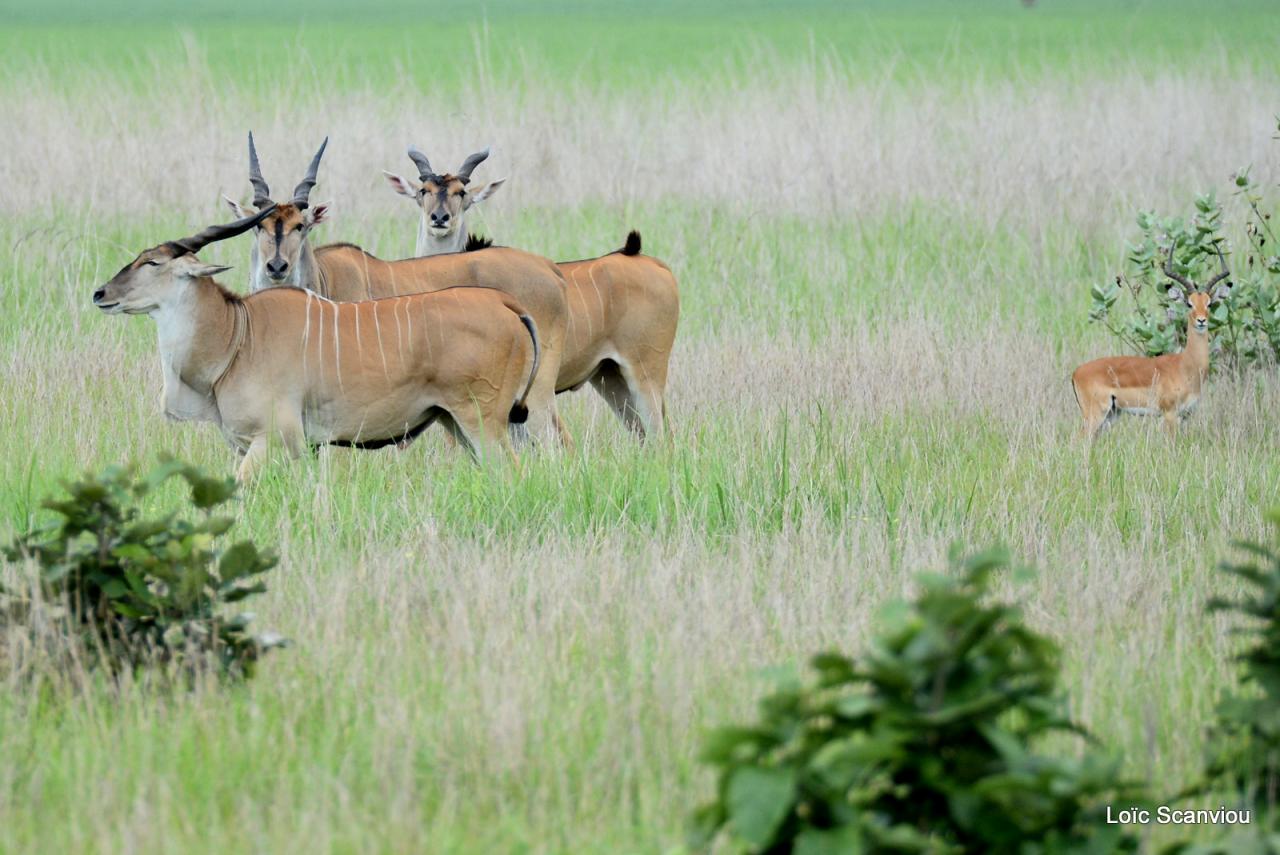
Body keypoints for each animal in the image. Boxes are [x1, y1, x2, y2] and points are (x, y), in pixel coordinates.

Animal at [92, 208, 542, 481]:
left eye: (152, 263)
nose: (100, 293)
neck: (236, 336)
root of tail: (506, 305)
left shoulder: (271, 439)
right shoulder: (297, 448)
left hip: (483, 421)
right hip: (457, 422)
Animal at [225, 133, 570, 447]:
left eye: (301, 225)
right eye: (258, 226)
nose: (276, 266)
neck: (322, 278)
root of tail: (550, 269)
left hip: (535, 393)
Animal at [381, 147, 675, 437]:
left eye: (461, 193)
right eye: (424, 190)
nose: (440, 218)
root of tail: (645, 258)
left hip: (640, 374)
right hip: (609, 376)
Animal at [1070, 245, 1228, 435]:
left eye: (1209, 303)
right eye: (1189, 303)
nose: (1201, 320)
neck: (1186, 365)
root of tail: (1076, 373)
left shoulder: (1185, 415)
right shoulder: (1169, 414)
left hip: (1111, 414)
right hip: (1095, 415)